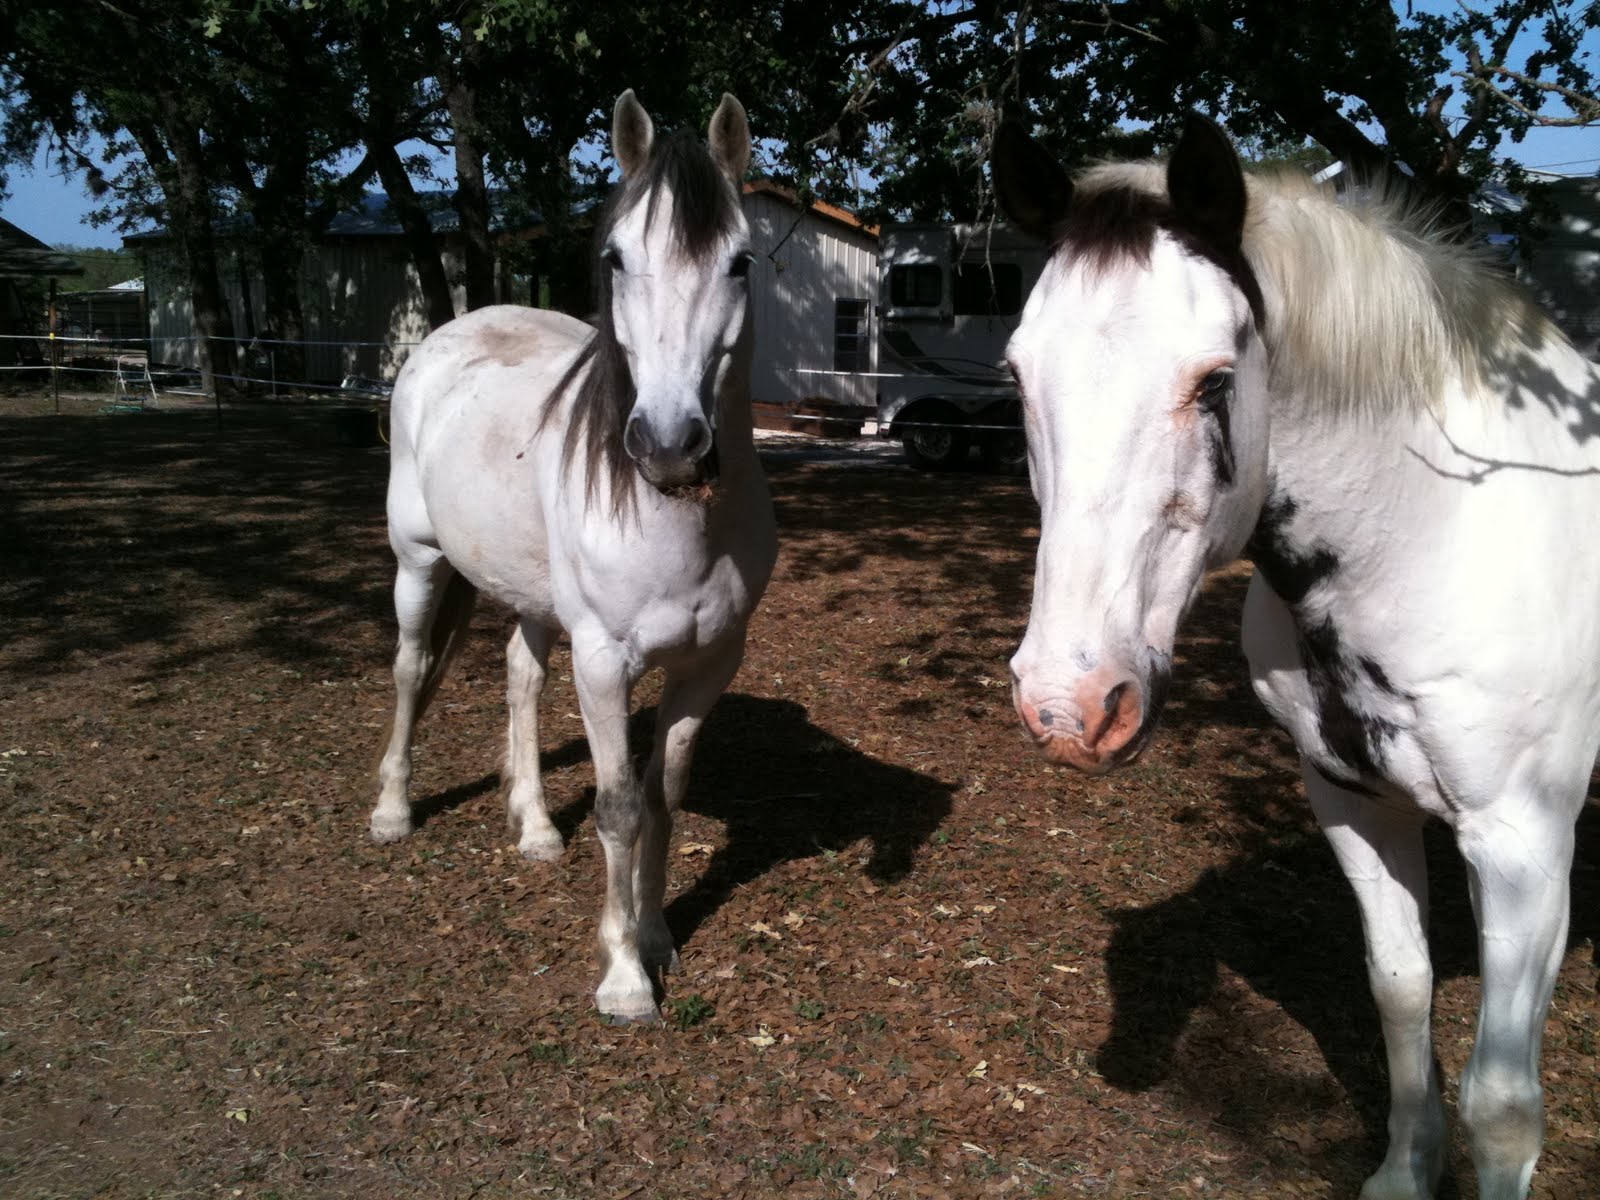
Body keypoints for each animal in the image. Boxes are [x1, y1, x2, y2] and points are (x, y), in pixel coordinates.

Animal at [370, 90, 777, 1025]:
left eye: (739, 263)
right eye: (617, 259)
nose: (668, 445)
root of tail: (448, 334)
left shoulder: (709, 663)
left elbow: (664, 796)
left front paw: (658, 936)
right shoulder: (603, 662)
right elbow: (620, 806)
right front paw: (624, 976)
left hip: (528, 596)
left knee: (520, 678)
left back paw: (534, 828)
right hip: (419, 562)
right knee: (410, 669)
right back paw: (393, 810)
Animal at [991, 115, 1599, 1199]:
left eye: (1215, 381)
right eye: (1017, 377)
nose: (1069, 704)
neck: (1436, 538)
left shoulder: (1524, 844)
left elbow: (1502, 1104)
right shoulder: (1351, 800)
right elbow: (1399, 992)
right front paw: (1402, 1172)